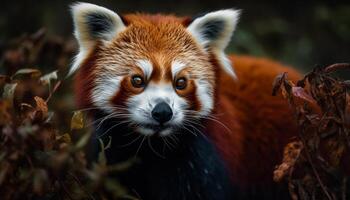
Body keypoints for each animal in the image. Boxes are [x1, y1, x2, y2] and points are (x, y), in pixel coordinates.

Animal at [70, 1, 300, 200]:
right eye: (137, 80)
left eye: (180, 82)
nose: (162, 112)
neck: (151, 148)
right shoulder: (110, 157)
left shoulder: (204, 160)